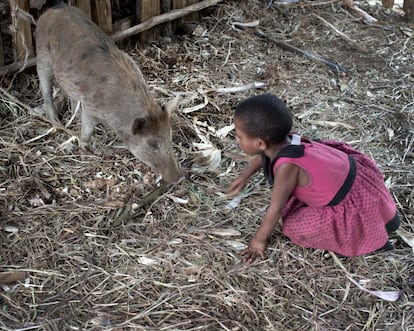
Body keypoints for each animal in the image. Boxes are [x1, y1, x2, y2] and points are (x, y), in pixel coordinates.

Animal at [36, 3, 182, 183]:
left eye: (170, 136)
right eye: (152, 144)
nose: (179, 178)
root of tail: (55, 8)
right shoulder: (91, 106)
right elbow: (87, 129)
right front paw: (86, 149)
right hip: (42, 56)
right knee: (46, 90)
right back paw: (56, 122)